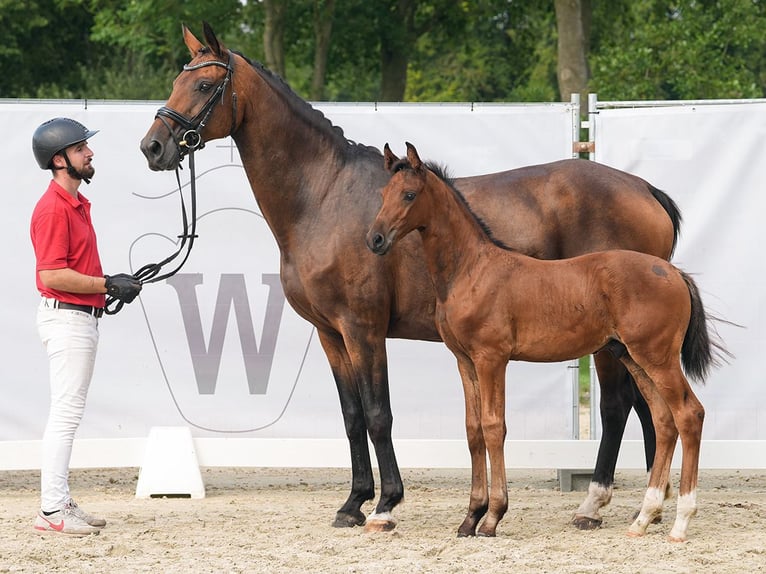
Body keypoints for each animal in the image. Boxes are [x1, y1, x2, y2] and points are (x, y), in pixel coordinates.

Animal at [142, 22, 684, 536]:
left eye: (205, 83)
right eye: (176, 80)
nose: (153, 146)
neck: (323, 196)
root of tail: (643, 188)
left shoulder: (362, 328)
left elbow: (378, 414)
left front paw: (385, 505)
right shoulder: (331, 333)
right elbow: (352, 417)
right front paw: (353, 503)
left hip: (615, 344)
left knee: (619, 406)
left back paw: (598, 505)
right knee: (649, 407)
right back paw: (649, 504)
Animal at [368, 142, 724, 544]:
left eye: (410, 195)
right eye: (384, 193)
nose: (375, 239)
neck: (472, 270)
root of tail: (674, 273)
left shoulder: (492, 358)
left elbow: (494, 427)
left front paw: (492, 517)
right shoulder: (464, 360)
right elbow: (473, 430)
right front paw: (470, 518)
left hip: (657, 356)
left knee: (689, 414)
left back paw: (679, 522)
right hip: (633, 356)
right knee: (664, 420)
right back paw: (643, 519)